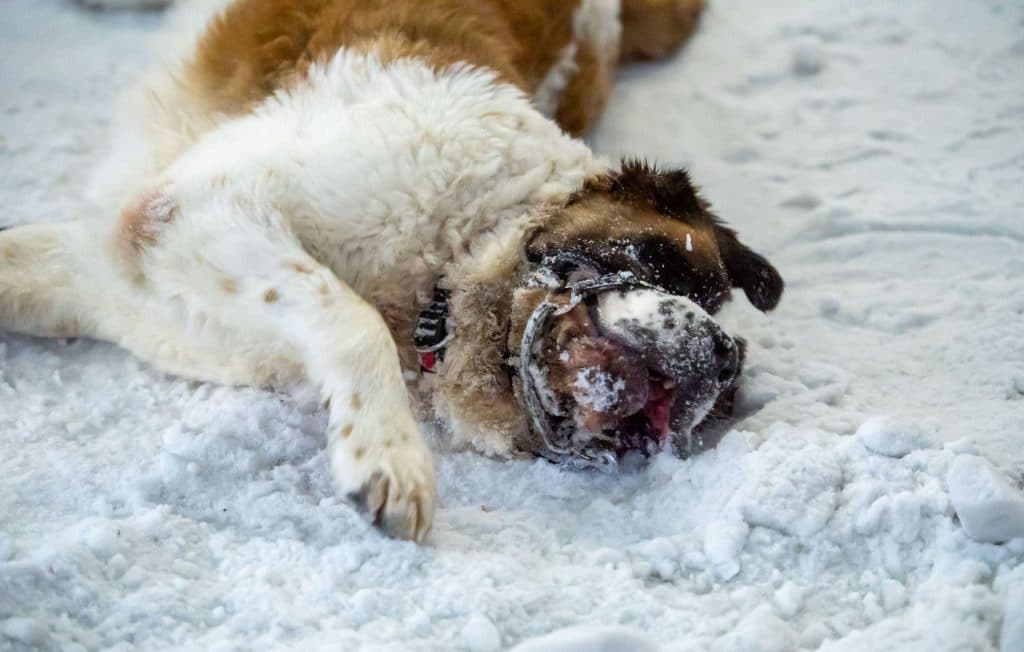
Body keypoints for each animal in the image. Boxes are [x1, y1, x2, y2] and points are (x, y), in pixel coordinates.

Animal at [0, 0, 783, 542]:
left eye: (727, 394)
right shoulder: (197, 205)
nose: (722, 358)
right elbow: (350, 315)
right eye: (669, 264)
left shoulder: (115, 270)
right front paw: (387, 456)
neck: (450, 262)